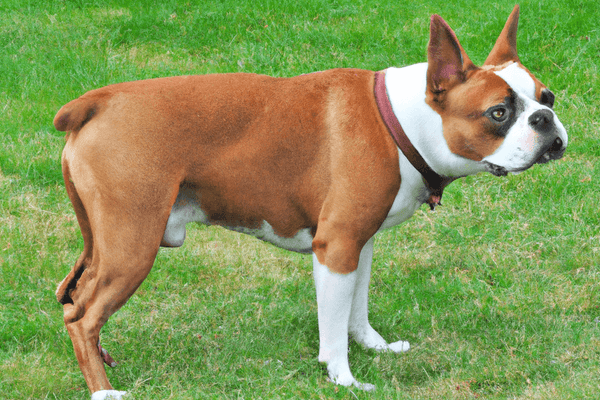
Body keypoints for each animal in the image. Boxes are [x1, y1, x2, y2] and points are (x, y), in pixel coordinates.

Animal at [52, 4, 568, 398]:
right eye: (498, 113)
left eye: (547, 97)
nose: (546, 121)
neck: (402, 122)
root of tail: (97, 101)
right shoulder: (336, 248)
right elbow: (333, 327)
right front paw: (345, 379)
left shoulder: (358, 245)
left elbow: (356, 309)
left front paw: (374, 347)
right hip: (132, 245)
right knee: (83, 316)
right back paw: (103, 391)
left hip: (104, 243)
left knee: (72, 297)